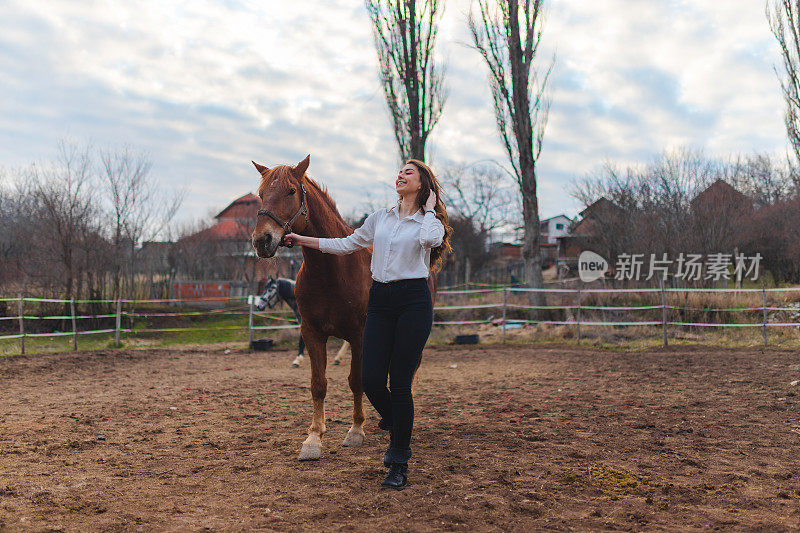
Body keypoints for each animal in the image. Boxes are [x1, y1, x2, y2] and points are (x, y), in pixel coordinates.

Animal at [252, 154, 374, 458]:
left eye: (291, 191)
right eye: (261, 194)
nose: (262, 241)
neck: (332, 269)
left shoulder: (359, 335)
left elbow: (356, 380)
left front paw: (356, 430)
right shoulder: (312, 332)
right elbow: (318, 385)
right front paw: (314, 438)